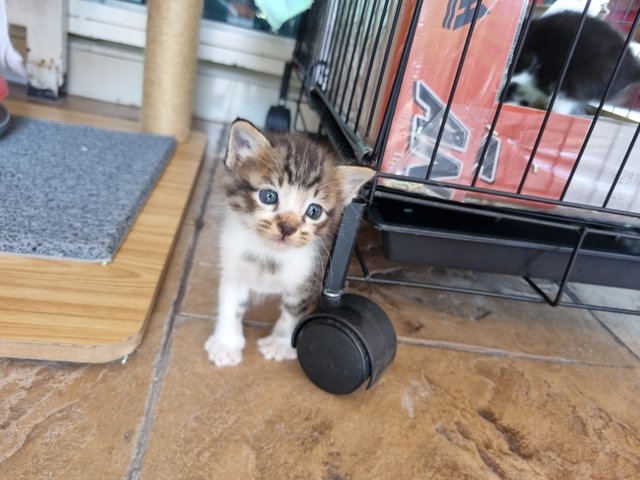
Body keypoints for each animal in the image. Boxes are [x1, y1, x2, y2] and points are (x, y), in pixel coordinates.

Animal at [205, 120, 376, 368]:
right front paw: (226, 343)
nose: (287, 227)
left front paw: (280, 343)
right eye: (268, 196)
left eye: (314, 211)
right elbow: (230, 304)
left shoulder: (308, 277)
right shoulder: (233, 267)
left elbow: (293, 311)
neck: (269, 255)